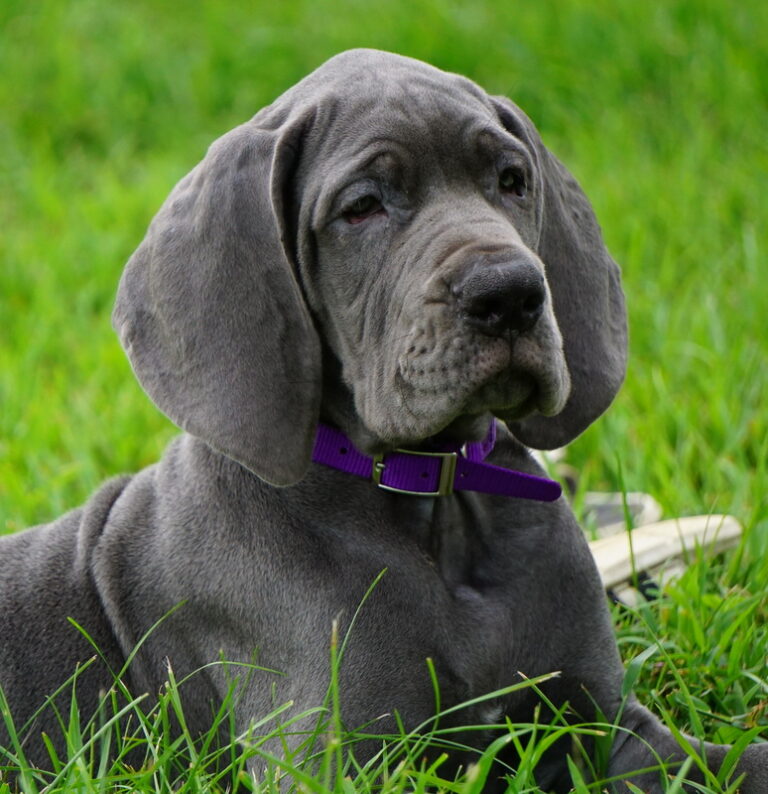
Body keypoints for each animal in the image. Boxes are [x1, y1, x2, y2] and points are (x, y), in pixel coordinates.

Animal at [1, 51, 768, 792]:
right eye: (363, 207)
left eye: (512, 180)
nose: (510, 293)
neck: (436, 496)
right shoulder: (338, 760)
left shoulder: (605, 725)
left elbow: (729, 761)